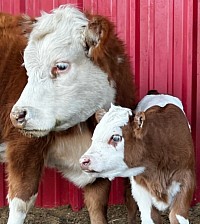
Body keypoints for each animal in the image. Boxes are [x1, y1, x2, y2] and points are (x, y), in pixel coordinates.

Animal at [0, 4, 152, 224]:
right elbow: (21, 200)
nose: (17, 115)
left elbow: (98, 207)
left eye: (61, 66)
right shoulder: (24, 147)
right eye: (26, 68)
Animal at [79, 93, 195, 223]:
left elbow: (176, 215)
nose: (83, 161)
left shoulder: (187, 179)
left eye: (116, 137)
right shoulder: (140, 186)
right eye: (94, 136)